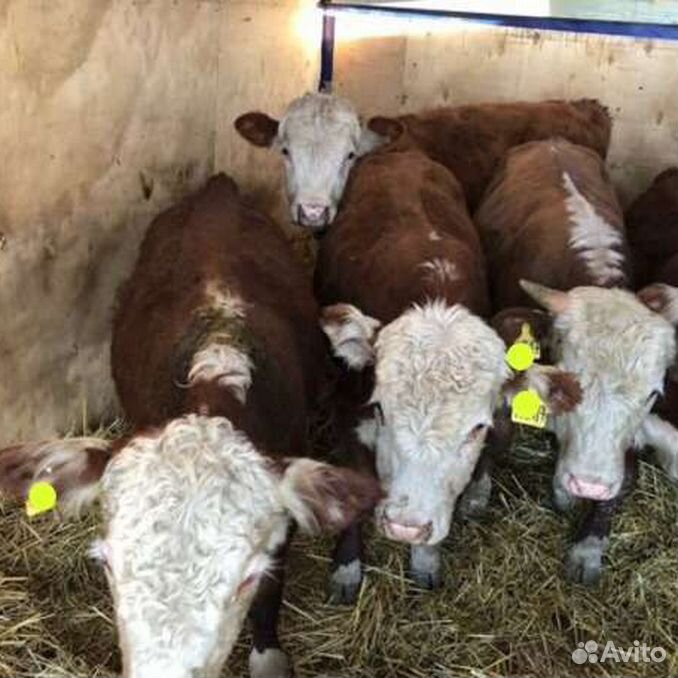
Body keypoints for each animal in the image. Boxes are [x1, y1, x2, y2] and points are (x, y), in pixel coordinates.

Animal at [472, 141, 678, 588]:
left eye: (653, 394)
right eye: (568, 380)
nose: (589, 484)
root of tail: (553, 142)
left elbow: (625, 478)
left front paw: (587, 545)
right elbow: (497, 435)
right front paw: (475, 495)